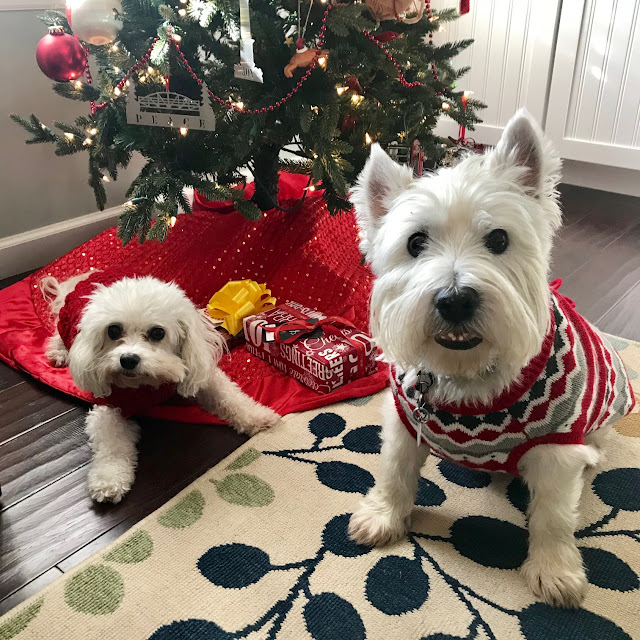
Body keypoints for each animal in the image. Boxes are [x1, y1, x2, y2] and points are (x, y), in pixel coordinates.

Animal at [42, 270, 278, 504]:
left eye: (158, 333)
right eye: (113, 330)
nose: (128, 360)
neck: (144, 385)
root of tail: (87, 277)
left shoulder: (204, 377)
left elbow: (230, 397)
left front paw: (258, 417)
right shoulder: (109, 408)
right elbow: (112, 446)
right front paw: (109, 479)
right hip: (67, 325)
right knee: (59, 334)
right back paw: (59, 352)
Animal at [350, 112, 636, 608]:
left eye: (499, 238)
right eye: (416, 242)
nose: (455, 300)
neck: (469, 375)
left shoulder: (557, 451)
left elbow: (553, 515)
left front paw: (555, 572)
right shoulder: (405, 421)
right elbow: (394, 471)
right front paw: (382, 518)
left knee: (595, 440)